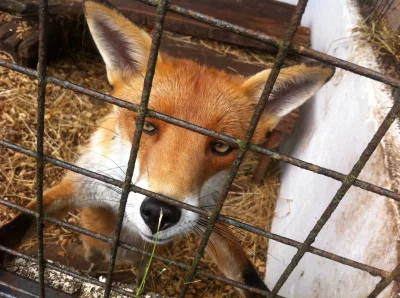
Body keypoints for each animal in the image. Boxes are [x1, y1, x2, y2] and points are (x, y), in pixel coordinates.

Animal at [0, 0, 336, 298]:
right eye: (148, 126)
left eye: (220, 146)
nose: (160, 212)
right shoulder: (83, 185)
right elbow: (24, 219)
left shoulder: (205, 220)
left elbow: (247, 275)